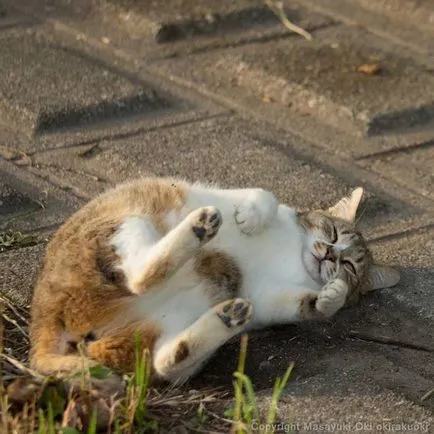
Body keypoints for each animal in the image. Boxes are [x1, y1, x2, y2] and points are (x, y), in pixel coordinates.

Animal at [28, 176, 398, 386]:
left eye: (349, 266)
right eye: (333, 232)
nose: (330, 255)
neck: (293, 256)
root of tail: (42, 320)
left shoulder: (267, 297)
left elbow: (304, 304)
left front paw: (330, 297)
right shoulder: (245, 197)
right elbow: (265, 194)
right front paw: (250, 218)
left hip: (160, 336)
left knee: (165, 359)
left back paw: (228, 316)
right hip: (123, 222)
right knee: (141, 277)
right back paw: (201, 226)